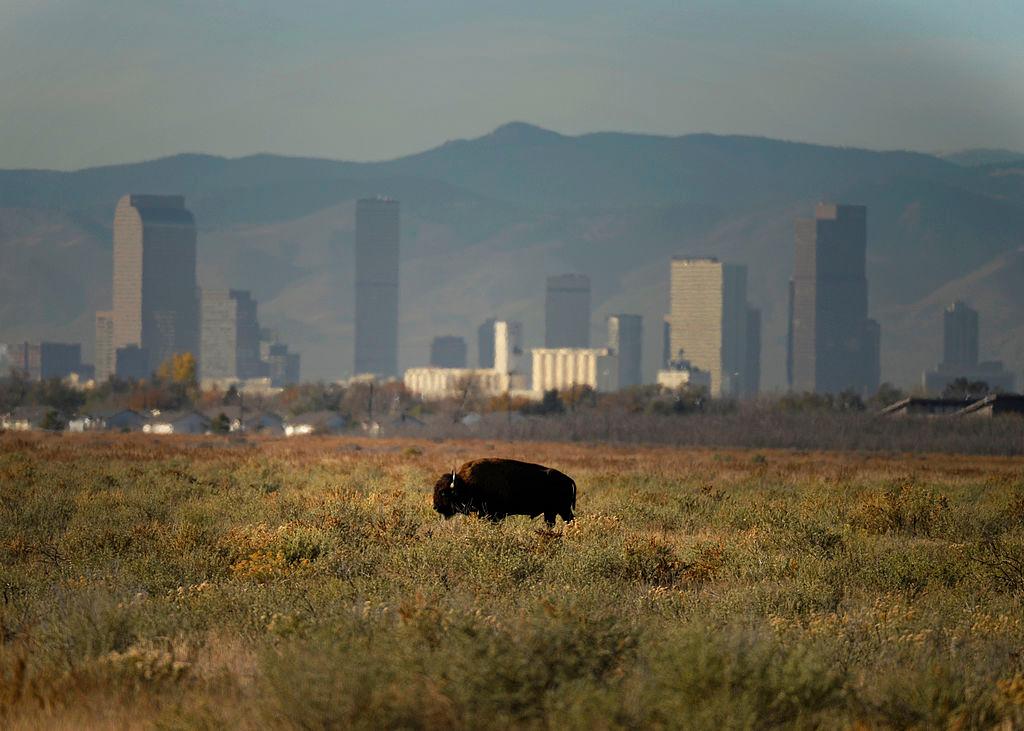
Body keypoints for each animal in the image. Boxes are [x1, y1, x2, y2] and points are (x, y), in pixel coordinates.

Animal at [432, 458, 576, 526]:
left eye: (443, 492)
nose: (435, 507)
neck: (466, 484)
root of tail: (569, 480)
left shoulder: (495, 515)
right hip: (551, 512)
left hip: (562, 510)